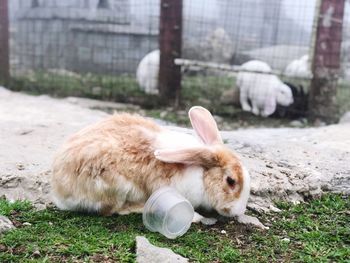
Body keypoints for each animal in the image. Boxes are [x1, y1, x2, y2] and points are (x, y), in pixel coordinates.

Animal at [50, 107, 252, 223]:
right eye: (231, 181)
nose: (238, 211)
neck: (202, 175)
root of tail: (60, 193)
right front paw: (196, 217)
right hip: (115, 188)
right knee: (111, 211)